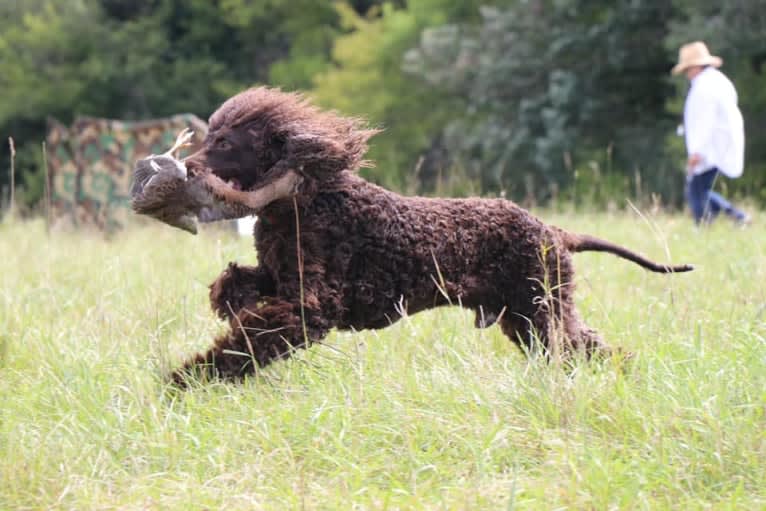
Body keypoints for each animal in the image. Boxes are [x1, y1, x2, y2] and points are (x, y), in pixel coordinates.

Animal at [129, 87, 692, 384]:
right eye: (209, 135)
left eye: (227, 142)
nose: (186, 169)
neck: (305, 197)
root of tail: (553, 230)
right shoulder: (282, 278)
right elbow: (235, 285)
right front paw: (228, 304)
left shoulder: (313, 307)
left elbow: (248, 341)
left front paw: (186, 379)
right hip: (531, 317)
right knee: (590, 347)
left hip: (541, 311)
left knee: (581, 349)